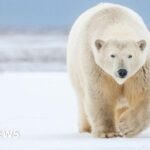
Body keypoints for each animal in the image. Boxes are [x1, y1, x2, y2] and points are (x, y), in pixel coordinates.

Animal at [67, 2, 150, 138]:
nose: (122, 72)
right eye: (112, 55)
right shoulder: (95, 65)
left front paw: (125, 126)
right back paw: (86, 129)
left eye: (130, 55)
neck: (117, 22)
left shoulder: (142, 69)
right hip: (76, 75)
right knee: (83, 104)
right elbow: (101, 94)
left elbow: (144, 93)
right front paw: (108, 133)